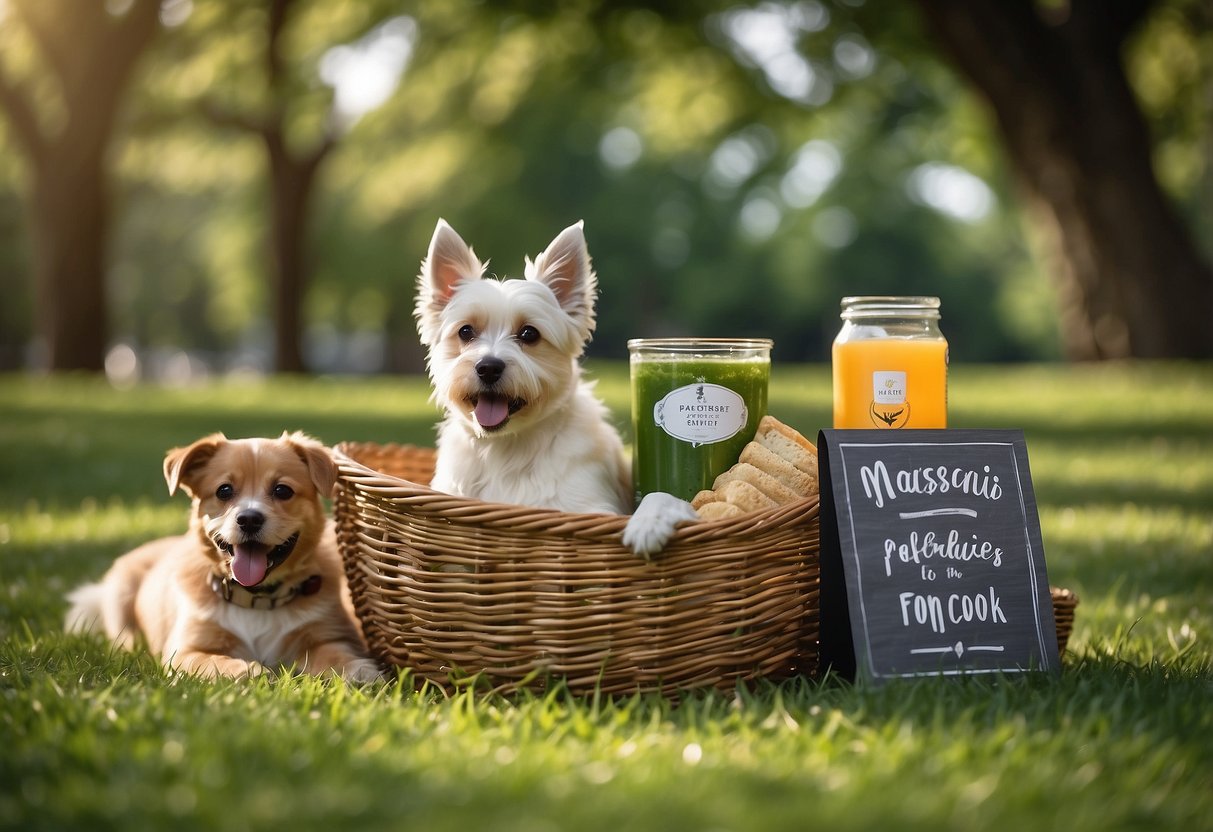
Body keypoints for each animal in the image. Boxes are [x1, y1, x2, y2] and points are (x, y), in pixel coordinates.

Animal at [66, 434, 378, 679]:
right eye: (224, 490)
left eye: (282, 490)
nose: (249, 519)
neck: (256, 600)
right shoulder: (184, 651)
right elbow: (211, 662)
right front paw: (246, 670)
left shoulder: (326, 635)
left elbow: (333, 651)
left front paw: (357, 668)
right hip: (119, 594)